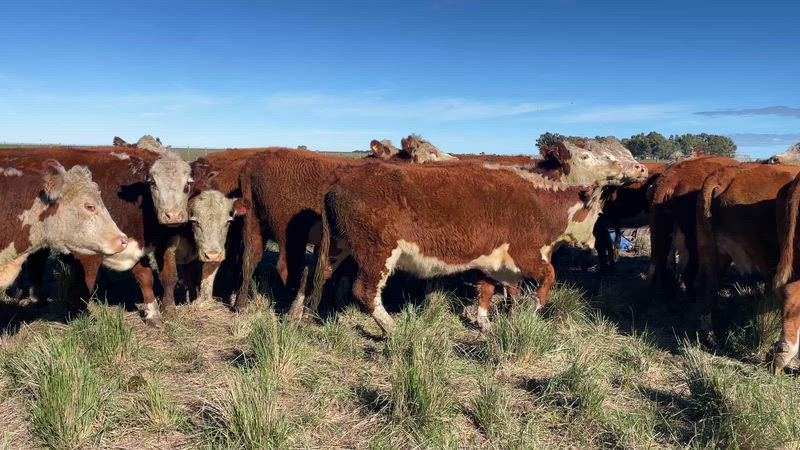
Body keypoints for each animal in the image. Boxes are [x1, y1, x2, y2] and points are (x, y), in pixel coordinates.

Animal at [317, 155, 647, 334]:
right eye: (592, 155)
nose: (639, 168)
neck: (541, 201)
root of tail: (339, 183)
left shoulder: (494, 261)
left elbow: (488, 290)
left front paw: (486, 322)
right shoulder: (526, 254)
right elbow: (548, 277)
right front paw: (533, 308)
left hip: (339, 249)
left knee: (323, 276)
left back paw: (309, 315)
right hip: (377, 254)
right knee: (365, 292)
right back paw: (393, 328)